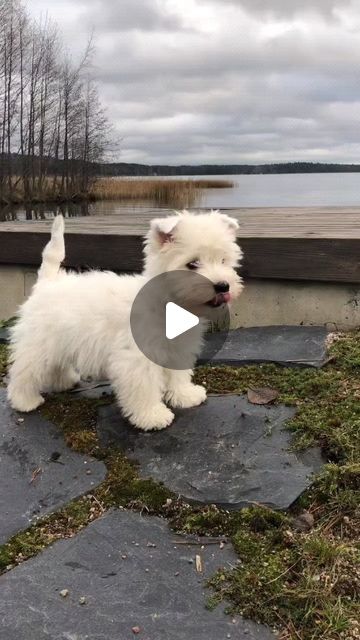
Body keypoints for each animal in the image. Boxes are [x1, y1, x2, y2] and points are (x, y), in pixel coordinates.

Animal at [8, 211, 243, 430]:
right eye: (192, 264)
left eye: (223, 260)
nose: (223, 286)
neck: (165, 304)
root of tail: (48, 282)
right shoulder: (137, 359)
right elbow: (145, 387)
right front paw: (152, 416)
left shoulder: (177, 349)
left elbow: (178, 375)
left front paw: (185, 396)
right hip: (38, 344)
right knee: (24, 371)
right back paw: (25, 401)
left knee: (55, 365)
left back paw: (64, 382)